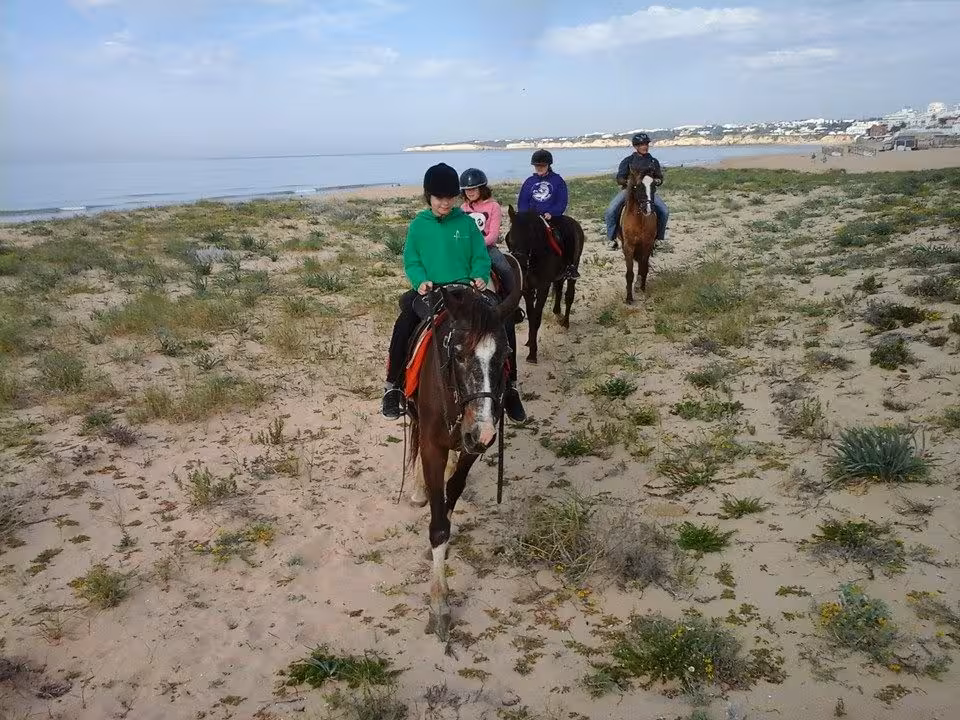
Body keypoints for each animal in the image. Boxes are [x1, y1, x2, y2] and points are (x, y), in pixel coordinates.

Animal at [404, 260, 522, 641]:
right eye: (457, 353)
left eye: (506, 355)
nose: (482, 431)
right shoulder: (433, 447)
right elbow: (439, 523)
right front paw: (440, 607)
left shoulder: (473, 445)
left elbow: (453, 489)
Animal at [505, 207, 584, 364]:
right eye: (510, 238)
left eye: (530, 239)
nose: (520, 265)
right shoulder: (527, 289)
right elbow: (531, 316)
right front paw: (530, 342)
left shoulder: (543, 288)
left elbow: (536, 317)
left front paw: (532, 354)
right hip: (559, 276)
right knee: (559, 290)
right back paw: (557, 313)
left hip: (574, 267)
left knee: (569, 295)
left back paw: (565, 322)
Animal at [618, 166, 658, 304]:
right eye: (638, 186)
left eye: (654, 185)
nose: (648, 209)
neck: (640, 219)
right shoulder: (629, 246)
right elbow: (629, 273)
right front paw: (629, 298)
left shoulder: (647, 244)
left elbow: (644, 268)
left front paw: (642, 288)